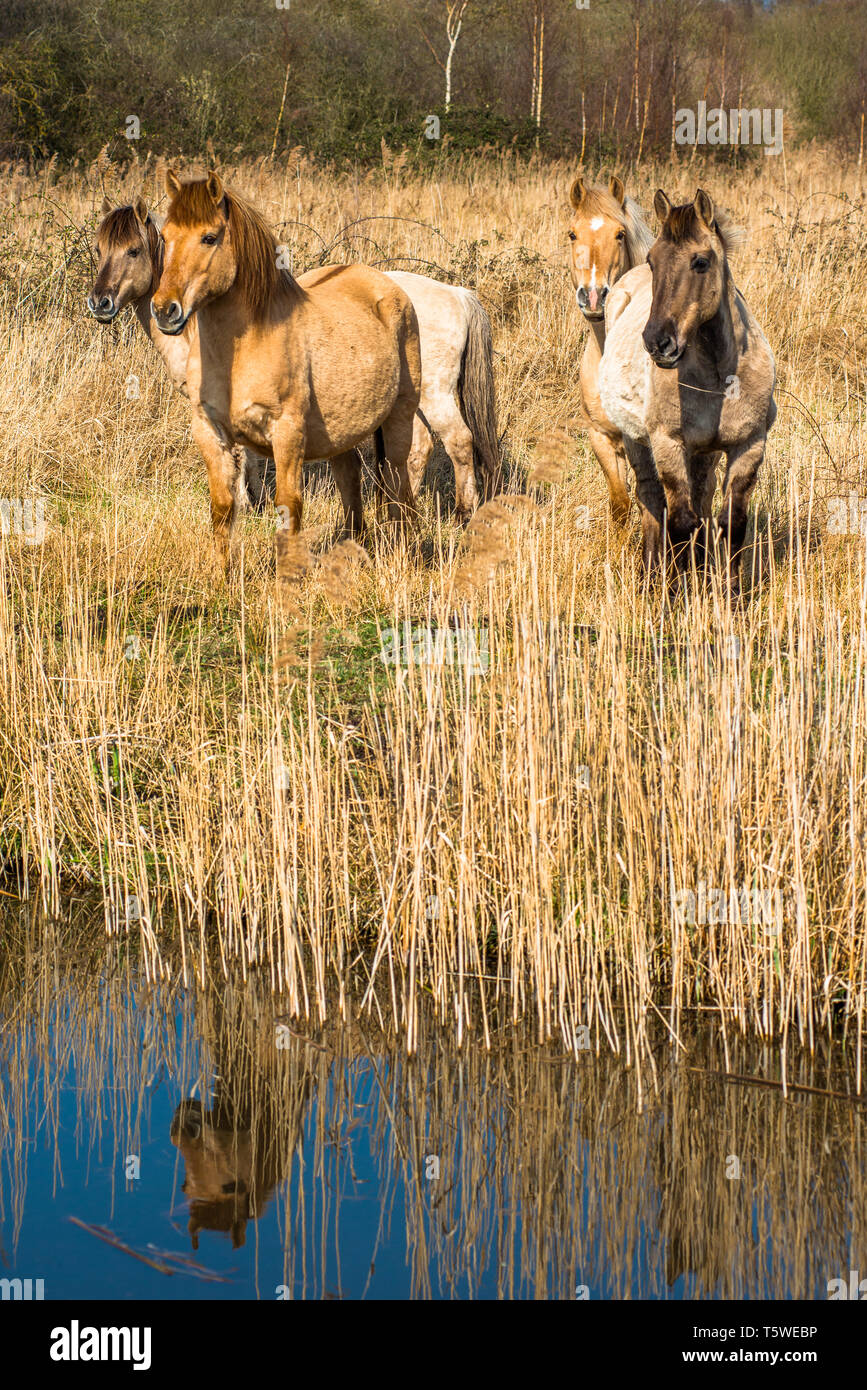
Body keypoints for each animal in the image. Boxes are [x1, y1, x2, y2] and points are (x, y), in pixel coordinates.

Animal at [88, 208, 497, 522]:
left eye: (134, 250)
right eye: (100, 248)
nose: (99, 302)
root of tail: (457, 294)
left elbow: (239, 456)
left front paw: (246, 503)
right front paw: (254, 500)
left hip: (433, 395)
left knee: (459, 442)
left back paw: (463, 514)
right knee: (418, 448)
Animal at [152, 169, 422, 575]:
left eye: (209, 237)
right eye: (165, 236)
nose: (164, 310)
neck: (244, 348)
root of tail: (389, 287)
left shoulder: (287, 432)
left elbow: (288, 505)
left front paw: (288, 579)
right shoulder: (209, 432)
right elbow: (222, 507)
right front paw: (220, 579)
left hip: (399, 419)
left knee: (397, 483)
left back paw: (404, 556)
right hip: (340, 434)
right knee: (351, 484)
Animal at [600, 186, 778, 586]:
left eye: (700, 262)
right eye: (653, 261)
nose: (657, 342)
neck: (720, 377)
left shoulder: (749, 445)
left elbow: (732, 522)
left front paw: (729, 595)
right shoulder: (668, 444)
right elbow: (680, 521)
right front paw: (679, 596)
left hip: (704, 454)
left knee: (701, 498)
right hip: (638, 441)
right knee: (652, 501)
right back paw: (652, 576)